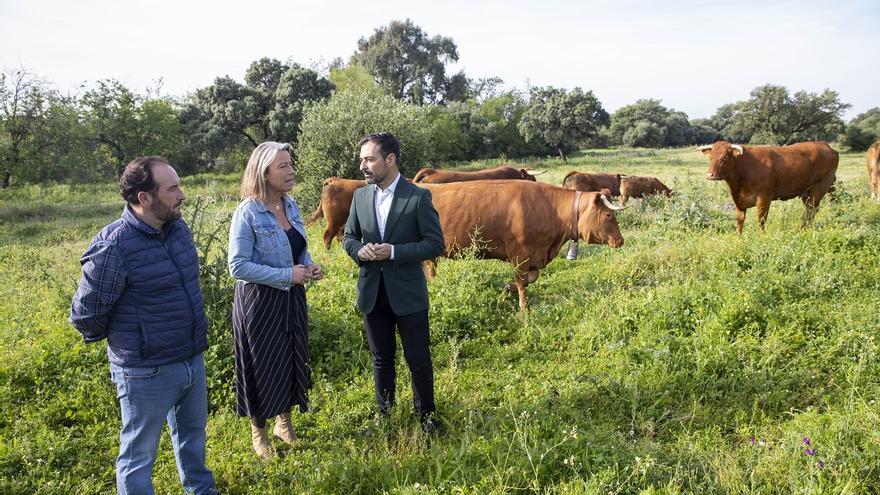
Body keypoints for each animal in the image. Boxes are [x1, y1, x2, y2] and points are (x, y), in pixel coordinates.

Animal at [422, 178, 624, 310]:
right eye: (608, 214)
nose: (620, 240)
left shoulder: (534, 256)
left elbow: (530, 279)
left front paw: (506, 288)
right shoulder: (519, 254)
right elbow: (521, 282)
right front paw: (523, 308)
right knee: (431, 271)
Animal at [700, 141, 840, 234]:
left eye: (725, 157)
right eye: (710, 157)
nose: (709, 175)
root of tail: (824, 145)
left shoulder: (764, 196)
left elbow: (761, 219)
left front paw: (762, 235)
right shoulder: (739, 200)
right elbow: (740, 220)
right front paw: (738, 237)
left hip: (820, 186)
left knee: (811, 210)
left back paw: (802, 230)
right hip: (806, 191)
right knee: (810, 210)